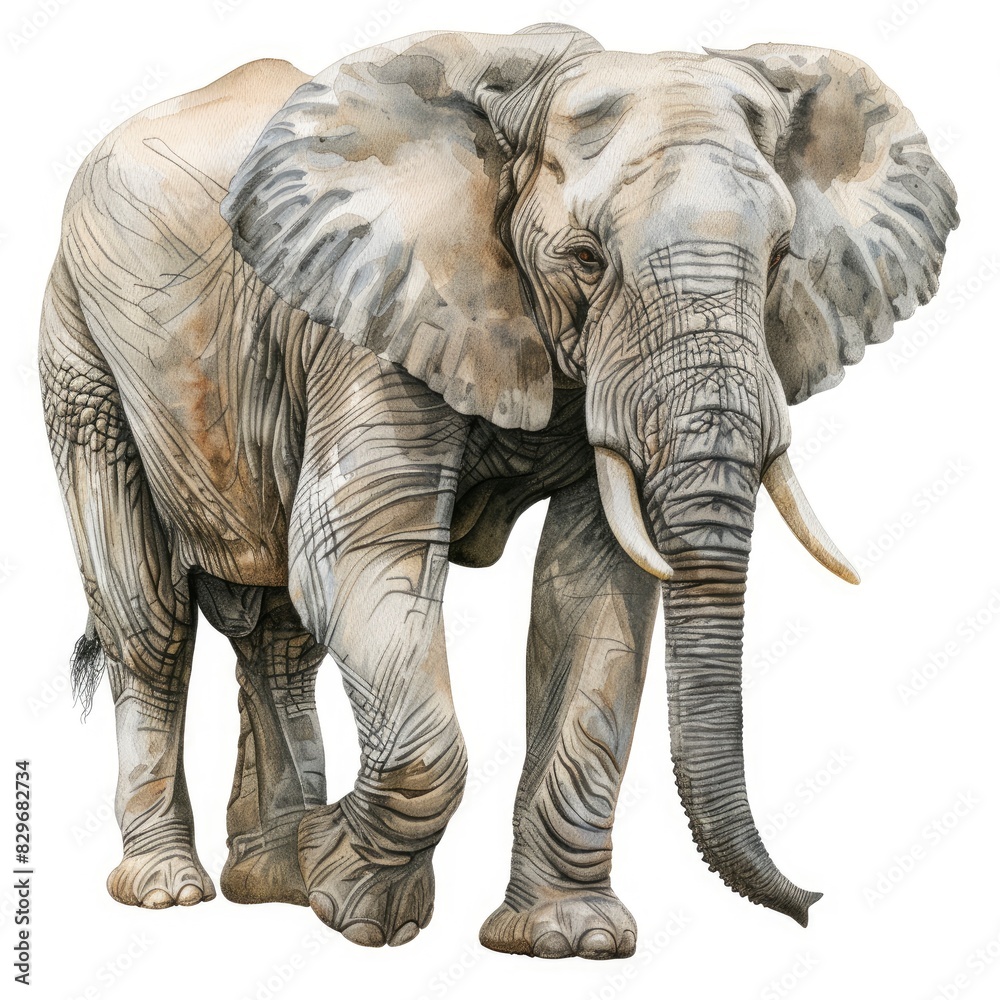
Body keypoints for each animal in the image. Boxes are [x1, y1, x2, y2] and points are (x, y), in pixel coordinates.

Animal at [40, 23, 957, 959]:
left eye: (778, 259)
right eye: (586, 258)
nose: (810, 903)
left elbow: (594, 591)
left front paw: (567, 940)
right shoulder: (376, 314)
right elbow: (358, 557)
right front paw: (358, 907)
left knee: (282, 633)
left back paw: (273, 880)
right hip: (79, 350)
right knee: (149, 625)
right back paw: (171, 888)